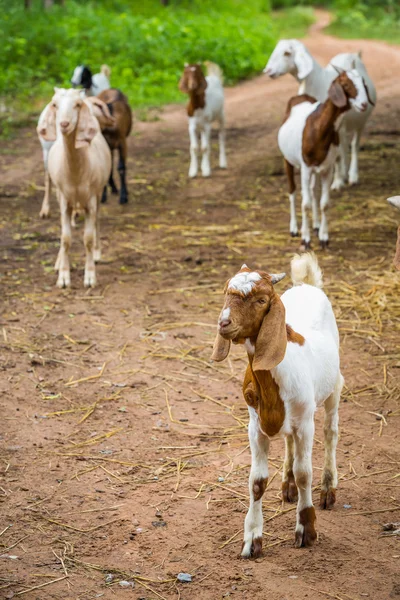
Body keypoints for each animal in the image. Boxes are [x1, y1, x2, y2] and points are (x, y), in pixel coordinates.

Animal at [37, 86, 111, 288]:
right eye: (55, 104)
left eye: (77, 104)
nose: (63, 124)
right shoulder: (64, 200)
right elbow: (65, 239)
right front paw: (63, 276)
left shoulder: (91, 199)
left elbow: (88, 238)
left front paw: (90, 277)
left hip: (98, 193)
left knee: (97, 221)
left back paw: (97, 252)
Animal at [264, 39, 376, 189]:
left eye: (286, 53)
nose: (267, 70)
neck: (317, 82)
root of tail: (354, 55)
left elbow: (338, 154)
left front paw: (337, 183)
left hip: (360, 123)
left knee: (354, 146)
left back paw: (352, 176)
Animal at [276, 71, 370, 248]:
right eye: (346, 85)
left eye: (363, 83)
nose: (364, 104)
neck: (319, 128)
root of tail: (299, 97)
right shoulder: (306, 167)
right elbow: (304, 203)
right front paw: (305, 239)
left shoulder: (328, 167)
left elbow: (324, 203)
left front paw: (323, 237)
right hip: (288, 160)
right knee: (292, 191)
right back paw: (294, 228)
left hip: (316, 169)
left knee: (313, 191)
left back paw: (316, 225)